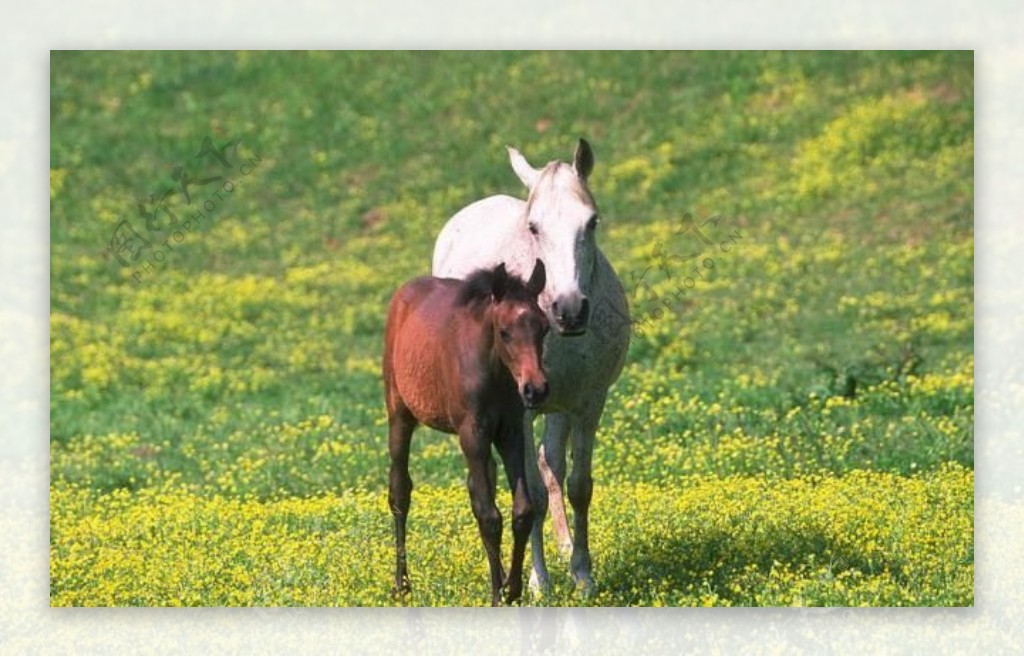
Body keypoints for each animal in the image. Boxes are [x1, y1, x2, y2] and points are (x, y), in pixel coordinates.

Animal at [430, 139, 626, 593]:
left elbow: (578, 485)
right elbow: (530, 495)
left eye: (591, 222)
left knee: (550, 463)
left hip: (557, 408)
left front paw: (582, 575)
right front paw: (538, 582)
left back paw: (564, 548)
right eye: (534, 227)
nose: (569, 310)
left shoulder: (588, 404)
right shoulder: (520, 411)